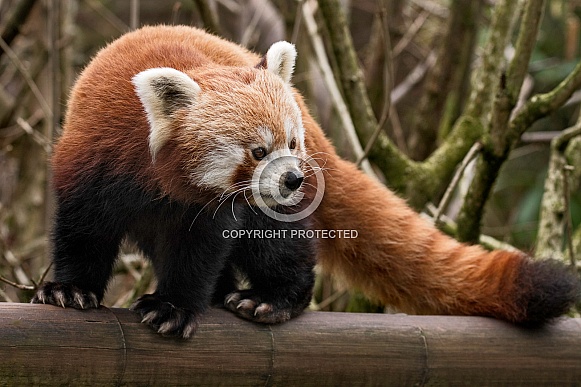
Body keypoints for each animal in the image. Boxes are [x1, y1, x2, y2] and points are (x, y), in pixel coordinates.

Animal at [34, 26, 576, 336]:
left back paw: (269, 299)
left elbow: (200, 251)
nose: (293, 178)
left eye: (290, 143)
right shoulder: (92, 160)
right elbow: (83, 229)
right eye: (258, 151)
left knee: (279, 245)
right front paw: (70, 290)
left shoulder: (212, 208)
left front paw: (174, 306)